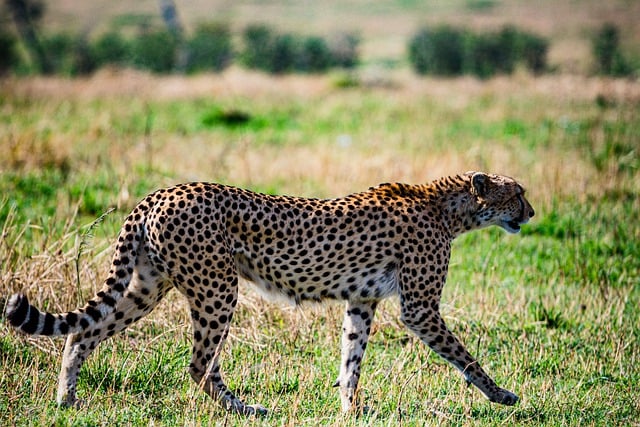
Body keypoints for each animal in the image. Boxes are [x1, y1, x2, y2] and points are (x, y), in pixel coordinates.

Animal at [6, 172, 536, 416]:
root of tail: (162, 191)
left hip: (148, 286)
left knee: (83, 333)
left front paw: (349, 409)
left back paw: (66, 400)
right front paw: (502, 394)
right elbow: (465, 357)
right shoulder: (420, 309)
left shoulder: (362, 301)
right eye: (518, 193)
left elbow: (351, 358)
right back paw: (246, 409)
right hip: (218, 288)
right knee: (199, 365)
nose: (531, 213)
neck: (448, 207)